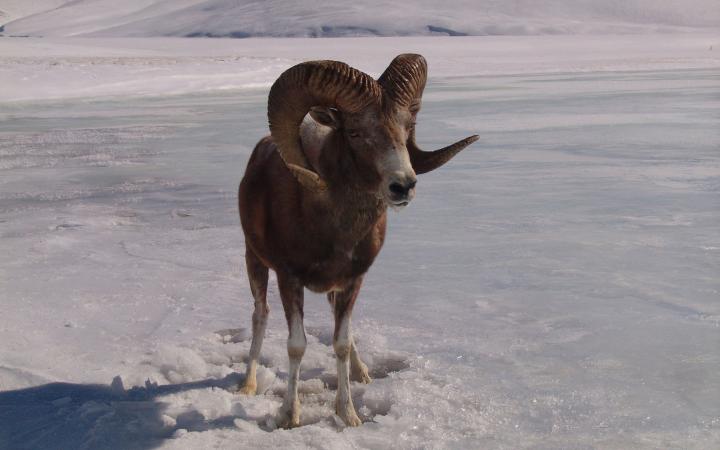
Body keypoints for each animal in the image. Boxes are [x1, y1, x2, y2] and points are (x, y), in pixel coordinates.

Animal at [238, 54, 478, 428]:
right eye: (355, 132)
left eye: (407, 126)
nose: (403, 186)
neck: (331, 227)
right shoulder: (288, 279)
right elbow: (296, 345)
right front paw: (289, 416)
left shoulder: (352, 281)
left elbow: (341, 342)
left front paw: (349, 415)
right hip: (255, 263)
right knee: (260, 316)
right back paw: (248, 385)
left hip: (330, 289)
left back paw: (362, 373)